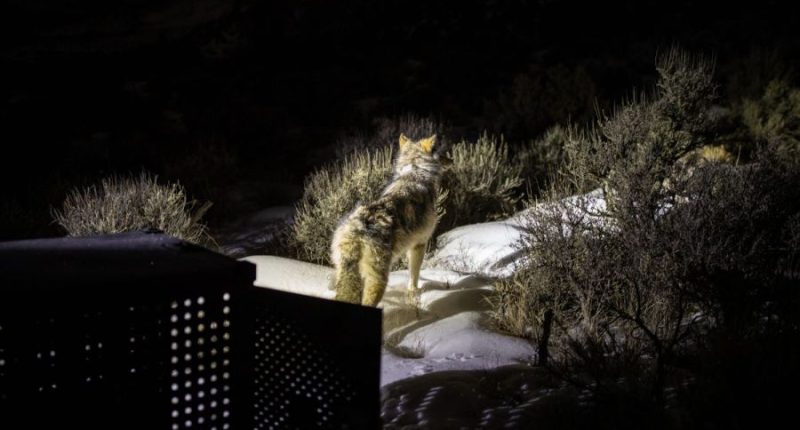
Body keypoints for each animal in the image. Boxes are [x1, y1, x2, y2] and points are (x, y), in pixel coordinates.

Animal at [331, 134, 446, 306]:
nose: (451, 160)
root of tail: (357, 228)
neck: (415, 172)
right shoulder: (420, 244)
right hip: (378, 281)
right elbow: (414, 276)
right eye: (439, 151)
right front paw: (414, 294)